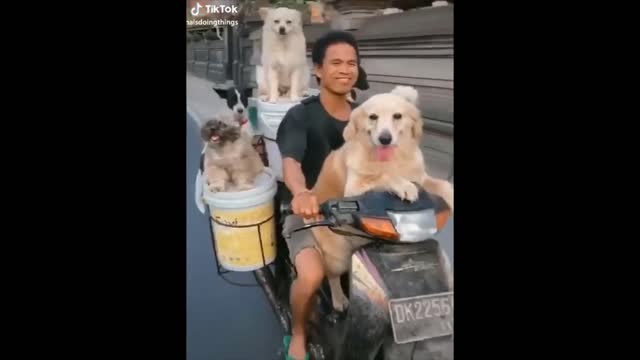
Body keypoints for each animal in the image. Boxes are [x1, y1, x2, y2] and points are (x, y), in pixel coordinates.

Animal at [308, 86, 452, 310]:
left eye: (397, 116)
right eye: (373, 117)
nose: (385, 139)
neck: (391, 160)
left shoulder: (421, 178)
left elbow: (442, 185)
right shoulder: (354, 188)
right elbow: (384, 176)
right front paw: (404, 186)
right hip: (337, 254)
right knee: (332, 276)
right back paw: (339, 300)